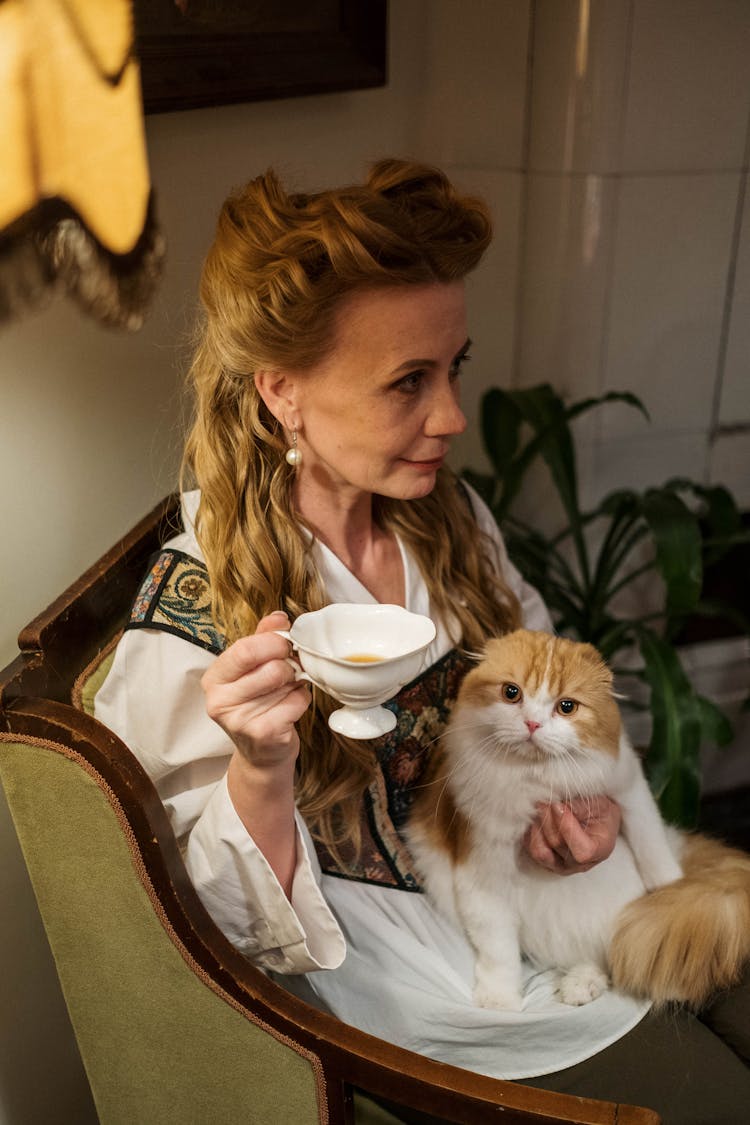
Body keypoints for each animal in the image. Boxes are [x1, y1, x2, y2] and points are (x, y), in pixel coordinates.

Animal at [407, 625, 750, 1012]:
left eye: (566, 707)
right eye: (512, 693)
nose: (532, 723)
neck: (537, 783)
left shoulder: (629, 789)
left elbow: (652, 847)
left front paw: (668, 890)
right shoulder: (483, 875)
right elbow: (499, 952)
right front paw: (499, 999)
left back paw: (582, 984)